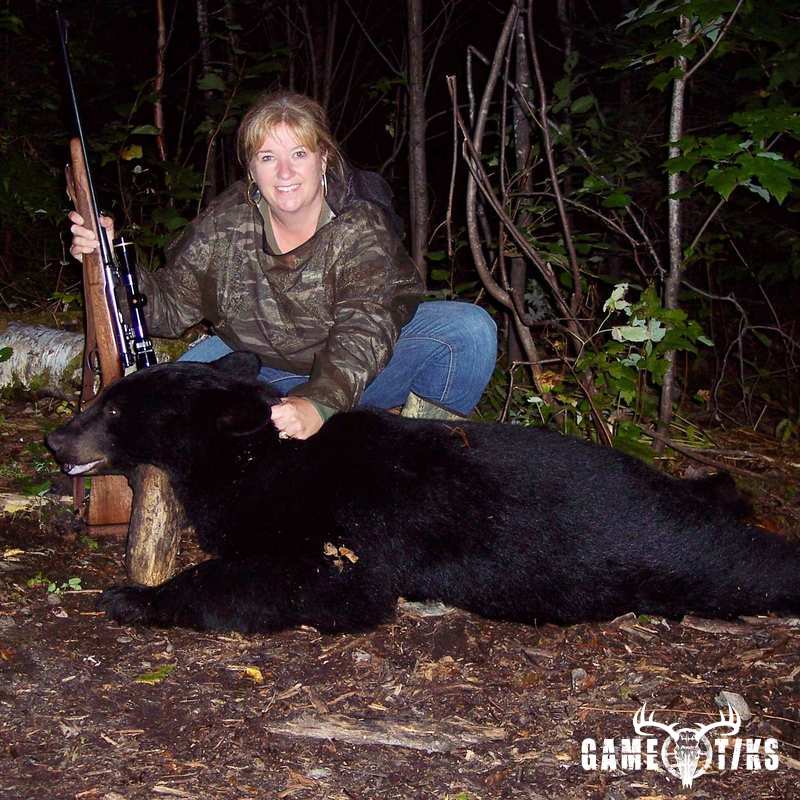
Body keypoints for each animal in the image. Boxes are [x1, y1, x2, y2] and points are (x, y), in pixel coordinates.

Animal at [45, 352, 800, 635]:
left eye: (115, 407)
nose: (56, 439)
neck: (252, 455)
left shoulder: (344, 528)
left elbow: (313, 582)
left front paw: (132, 596)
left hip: (665, 553)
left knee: (741, 565)